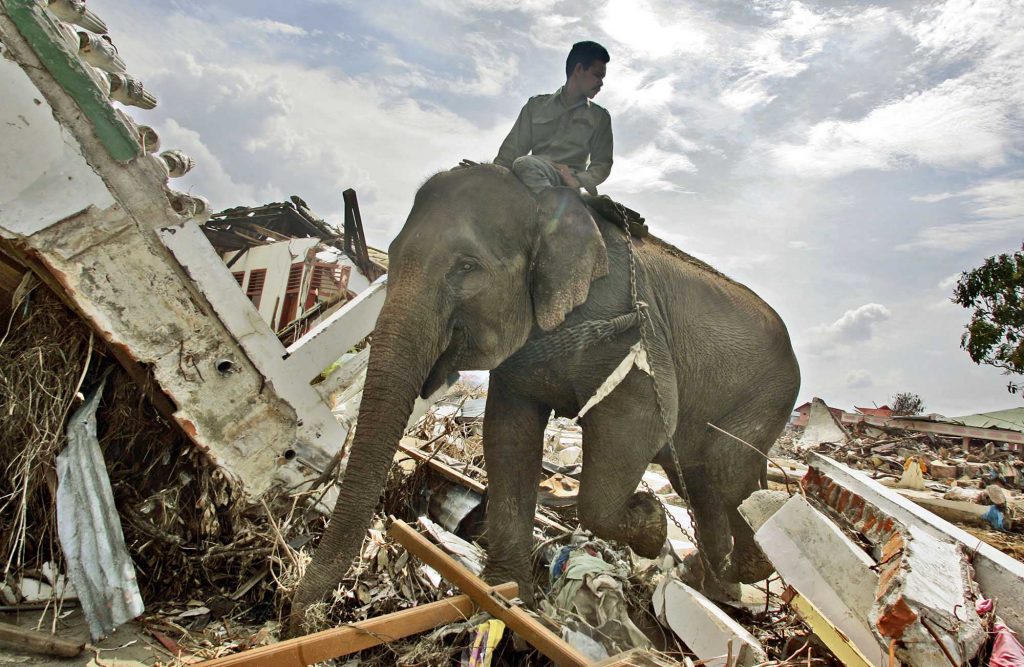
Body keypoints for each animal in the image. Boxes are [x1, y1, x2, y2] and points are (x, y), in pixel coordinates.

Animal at [288, 162, 798, 631]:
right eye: (390, 254)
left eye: (467, 267)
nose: (295, 619)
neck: (544, 209)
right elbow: (509, 435)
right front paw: (505, 594)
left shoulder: (633, 330)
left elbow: (640, 426)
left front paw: (652, 526)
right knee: (701, 478)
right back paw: (711, 585)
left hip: (769, 393)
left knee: (724, 473)